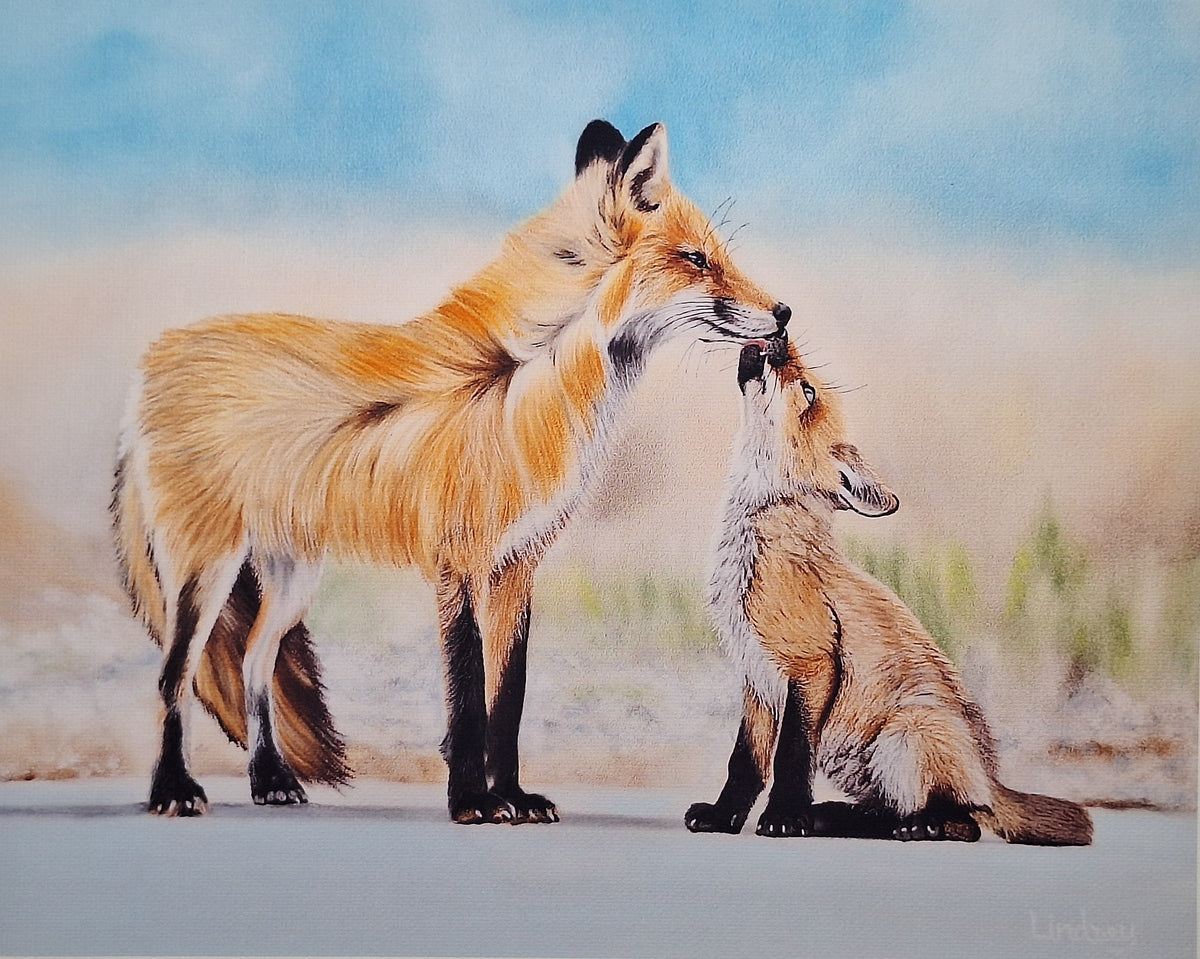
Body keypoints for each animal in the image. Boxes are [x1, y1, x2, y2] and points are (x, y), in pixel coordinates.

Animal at [113, 120, 791, 821]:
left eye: (715, 254)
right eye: (697, 260)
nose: (784, 313)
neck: (523, 382)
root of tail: (152, 359)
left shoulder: (517, 567)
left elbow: (507, 701)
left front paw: (512, 796)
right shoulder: (457, 564)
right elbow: (466, 699)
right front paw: (471, 800)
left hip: (292, 574)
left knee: (252, 661)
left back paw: (268, 778)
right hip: (205, 568)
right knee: (172, 674)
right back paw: (173, 789)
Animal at [685, 339, 1093, 844]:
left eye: (807, 390)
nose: (779, 336)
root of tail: (992, 777)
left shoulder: (812, 664)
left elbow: (791, 758)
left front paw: (784, 818)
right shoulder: (758, 680)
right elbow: (745, 764)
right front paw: (724, 818)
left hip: (907, 732)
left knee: (967, 821)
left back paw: (923, 826)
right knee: (888, 811)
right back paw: (836, 818)